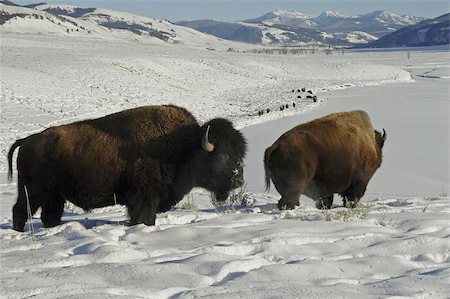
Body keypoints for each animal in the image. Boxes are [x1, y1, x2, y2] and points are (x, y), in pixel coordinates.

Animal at [7, 105, 246, 232]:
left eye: (240, 153)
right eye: (224, 155)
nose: (239, 180)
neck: (185, 146)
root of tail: (27, 140)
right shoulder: (144, 198)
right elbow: (143, 218)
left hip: (54, 196)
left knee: (49, 215)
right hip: (32, 191)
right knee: (20, 211)